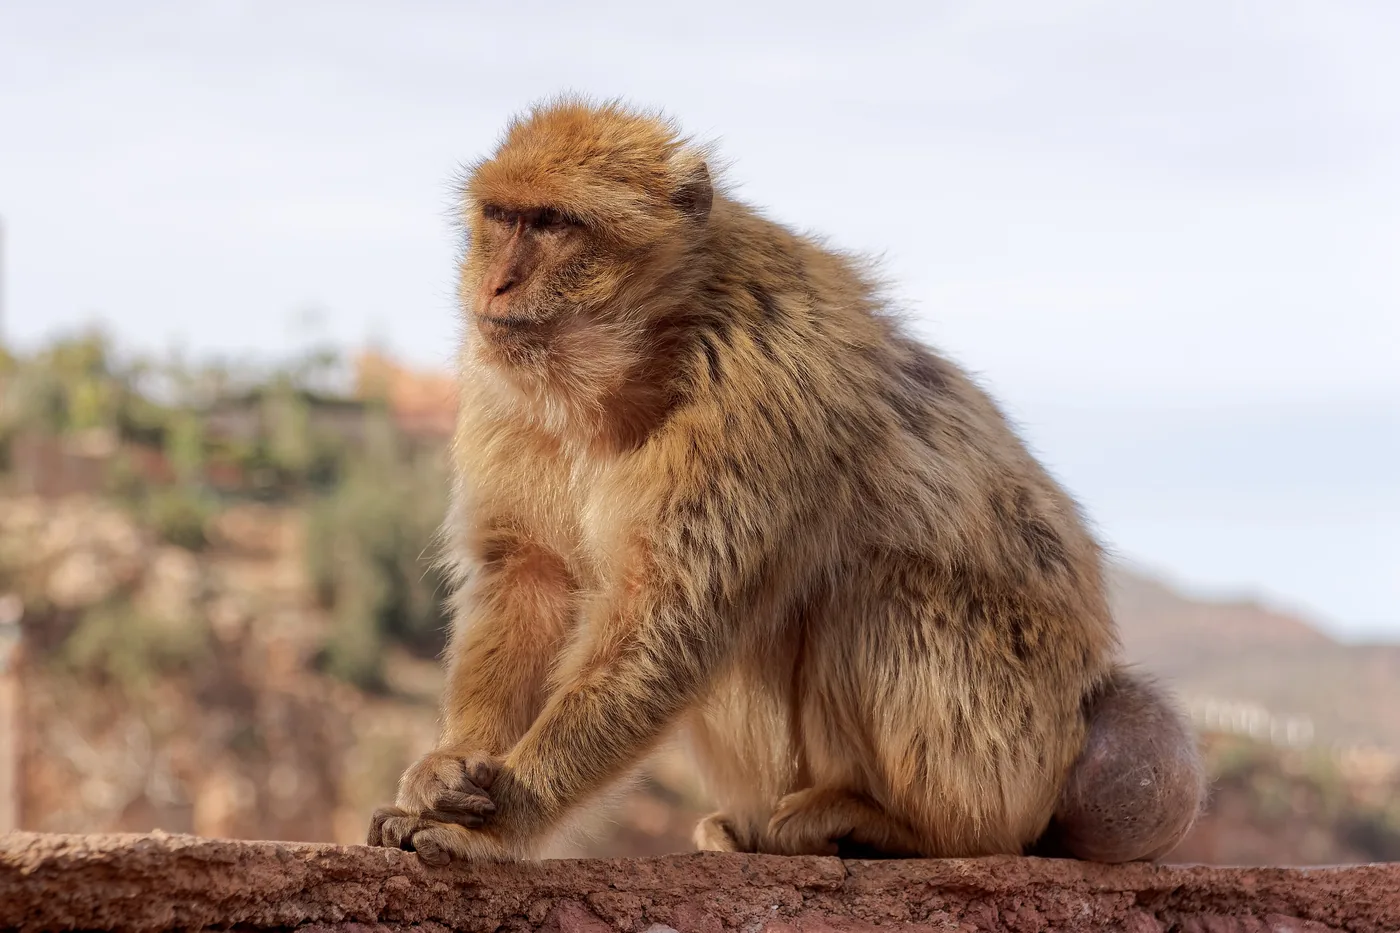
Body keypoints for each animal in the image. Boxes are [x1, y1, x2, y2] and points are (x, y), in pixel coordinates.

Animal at [366, 97, 1206, 866]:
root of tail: (1084, 709)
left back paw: (911, 830)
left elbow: (664, 627)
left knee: (873, 588)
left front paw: (499, 822)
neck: (639, 359)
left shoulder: (757, 393)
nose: (496, 285)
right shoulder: (504, 390)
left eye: (553, 224)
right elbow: (527, 574)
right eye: (502, 216)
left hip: (1012, 742)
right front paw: (449, 766)